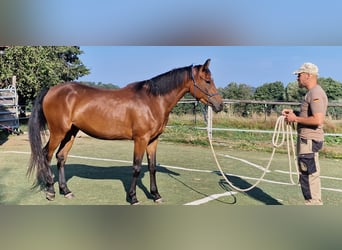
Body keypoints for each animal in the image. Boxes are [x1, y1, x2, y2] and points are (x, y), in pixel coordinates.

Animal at [28, 59, 223, 204]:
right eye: (207, 81)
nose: (219, 105)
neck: (152, 101)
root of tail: (51, 90)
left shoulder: (153, 140)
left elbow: (152, 167)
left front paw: (156, 195)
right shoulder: (140, 139)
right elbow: (136, 167)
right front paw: (133, 197)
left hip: (71, 132)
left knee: (61, 157)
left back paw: (66, 190)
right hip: (58, 132)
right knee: (46, 155)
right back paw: (50, 191)